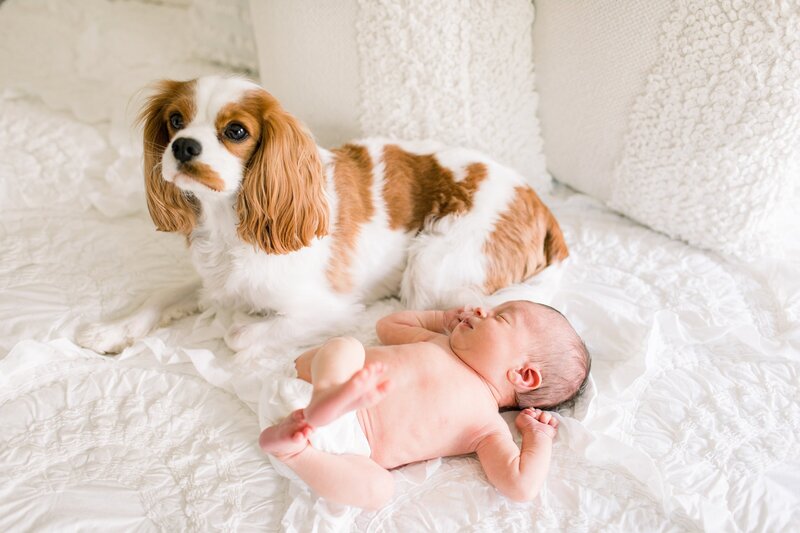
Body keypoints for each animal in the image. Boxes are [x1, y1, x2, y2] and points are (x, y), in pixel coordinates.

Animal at [73, 75, 564, 356]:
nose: (183, 147)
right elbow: (161, 295)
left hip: (430, 269)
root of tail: (538, 203)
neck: (231, 221)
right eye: (175, 121)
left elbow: (238, 335)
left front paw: (226, 322)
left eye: (236, 131)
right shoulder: (214, 277)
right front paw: (111, 331)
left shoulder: (328, 309)